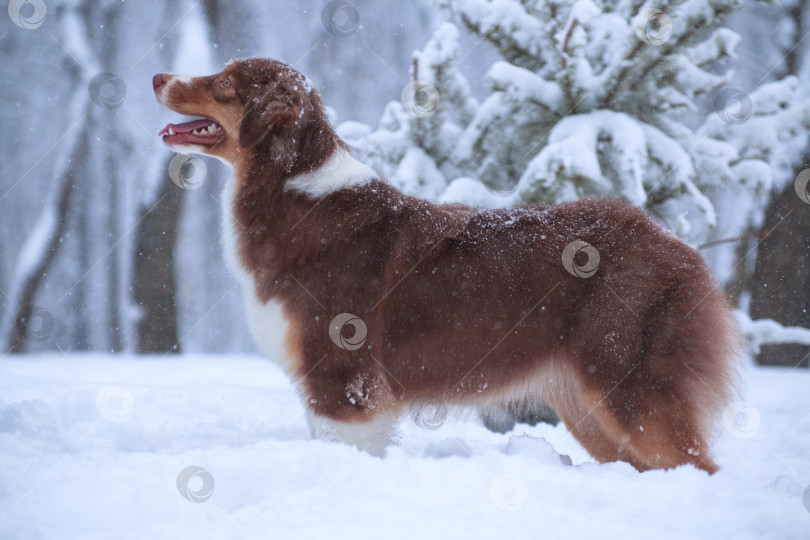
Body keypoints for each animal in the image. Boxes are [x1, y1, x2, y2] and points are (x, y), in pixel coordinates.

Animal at [153, 58, 740, 472]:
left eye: (225, 81)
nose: (158, 76)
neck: (293, 190)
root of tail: (676, 243)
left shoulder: (342, 379)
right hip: (586, 405)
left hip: (629, 384)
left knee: (697, 465)